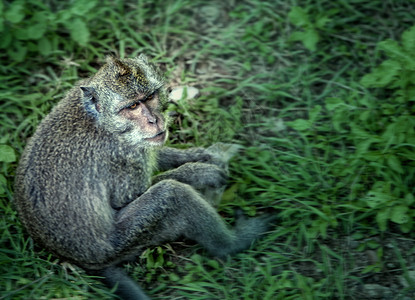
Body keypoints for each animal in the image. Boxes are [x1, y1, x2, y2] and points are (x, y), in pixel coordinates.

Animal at [13, 54, 274, 300]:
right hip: (125, 242)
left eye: (149, 98)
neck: (102, 122)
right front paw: (199, 172)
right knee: (171, 195)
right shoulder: (124, 155)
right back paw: (233, 243)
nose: (154, 120)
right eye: (132, 107)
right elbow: (128, 198)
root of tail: (81, 261)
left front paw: (203, 155)